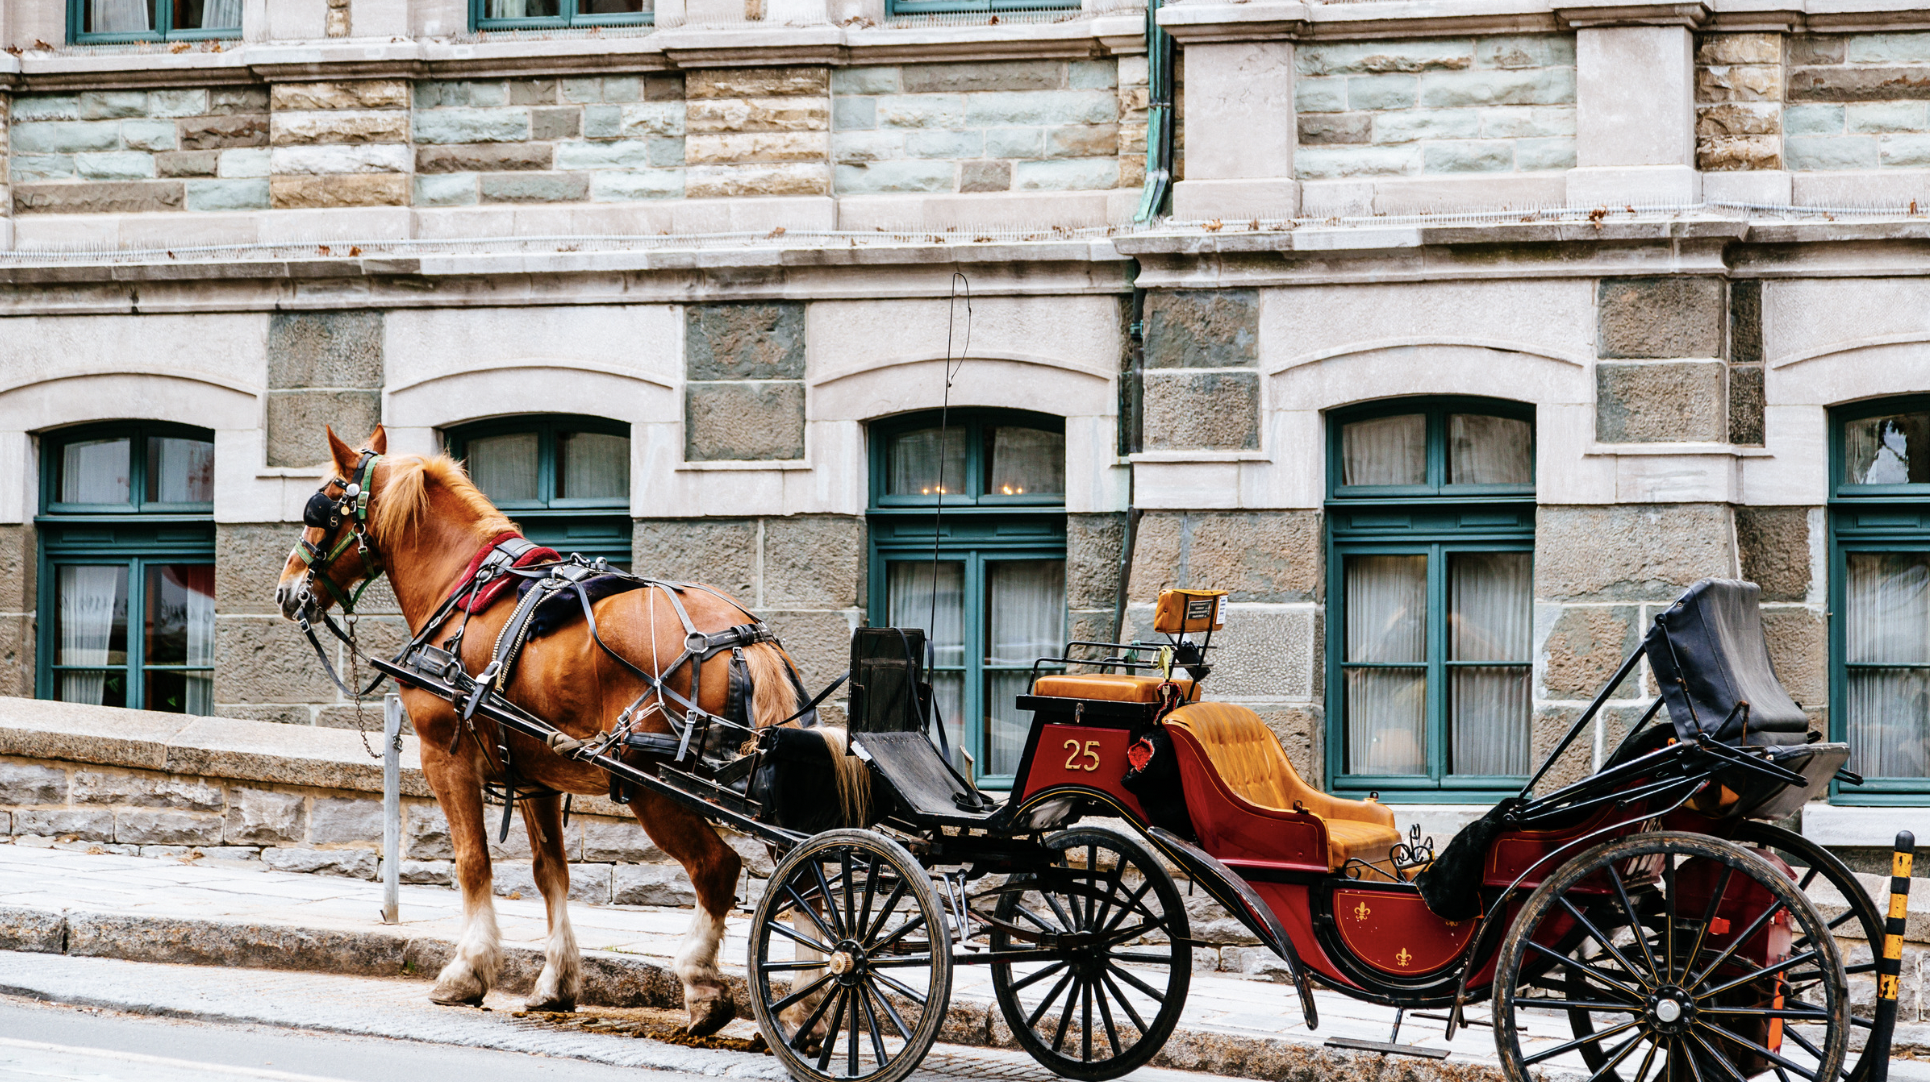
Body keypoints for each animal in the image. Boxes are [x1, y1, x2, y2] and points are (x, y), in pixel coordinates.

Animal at [272, 424, 860, 1026]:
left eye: (320, 508)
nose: (287, 590)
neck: (462, 589)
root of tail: (742, 634)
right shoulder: (536, 775)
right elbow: (549, 871)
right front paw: (555, 982)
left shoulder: (445, 756)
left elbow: (473, 862)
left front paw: (467, 971)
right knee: (811, 877)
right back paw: (809, 1004)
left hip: (652, 787)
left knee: (718, 869)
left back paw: (706, 985)